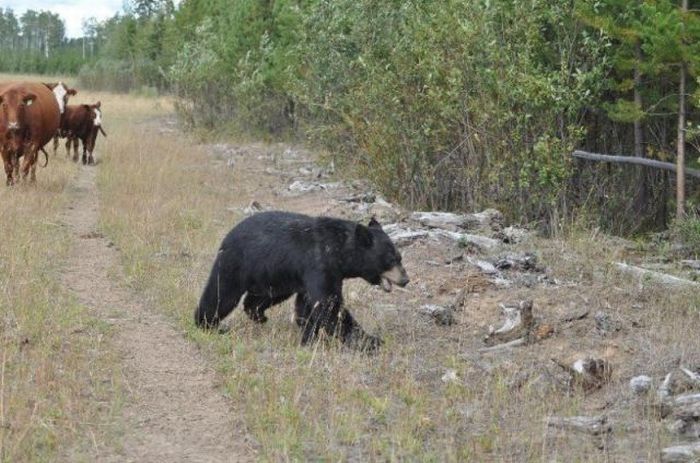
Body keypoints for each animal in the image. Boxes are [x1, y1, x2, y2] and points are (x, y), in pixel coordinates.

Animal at [194, 210, 408, 348]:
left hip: (273, 276)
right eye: (391, 259)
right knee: (221, 294)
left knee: (260, 298)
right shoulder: (319, 264)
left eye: (400, 257)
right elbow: (329, 305)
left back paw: (259, 315)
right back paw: (206, 324)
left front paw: (309, 336)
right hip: (238, 264)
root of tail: (227, 237)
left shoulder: (320, 274)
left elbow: (308, 305)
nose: (405, 279)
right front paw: (371, 341)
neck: (339, 250)